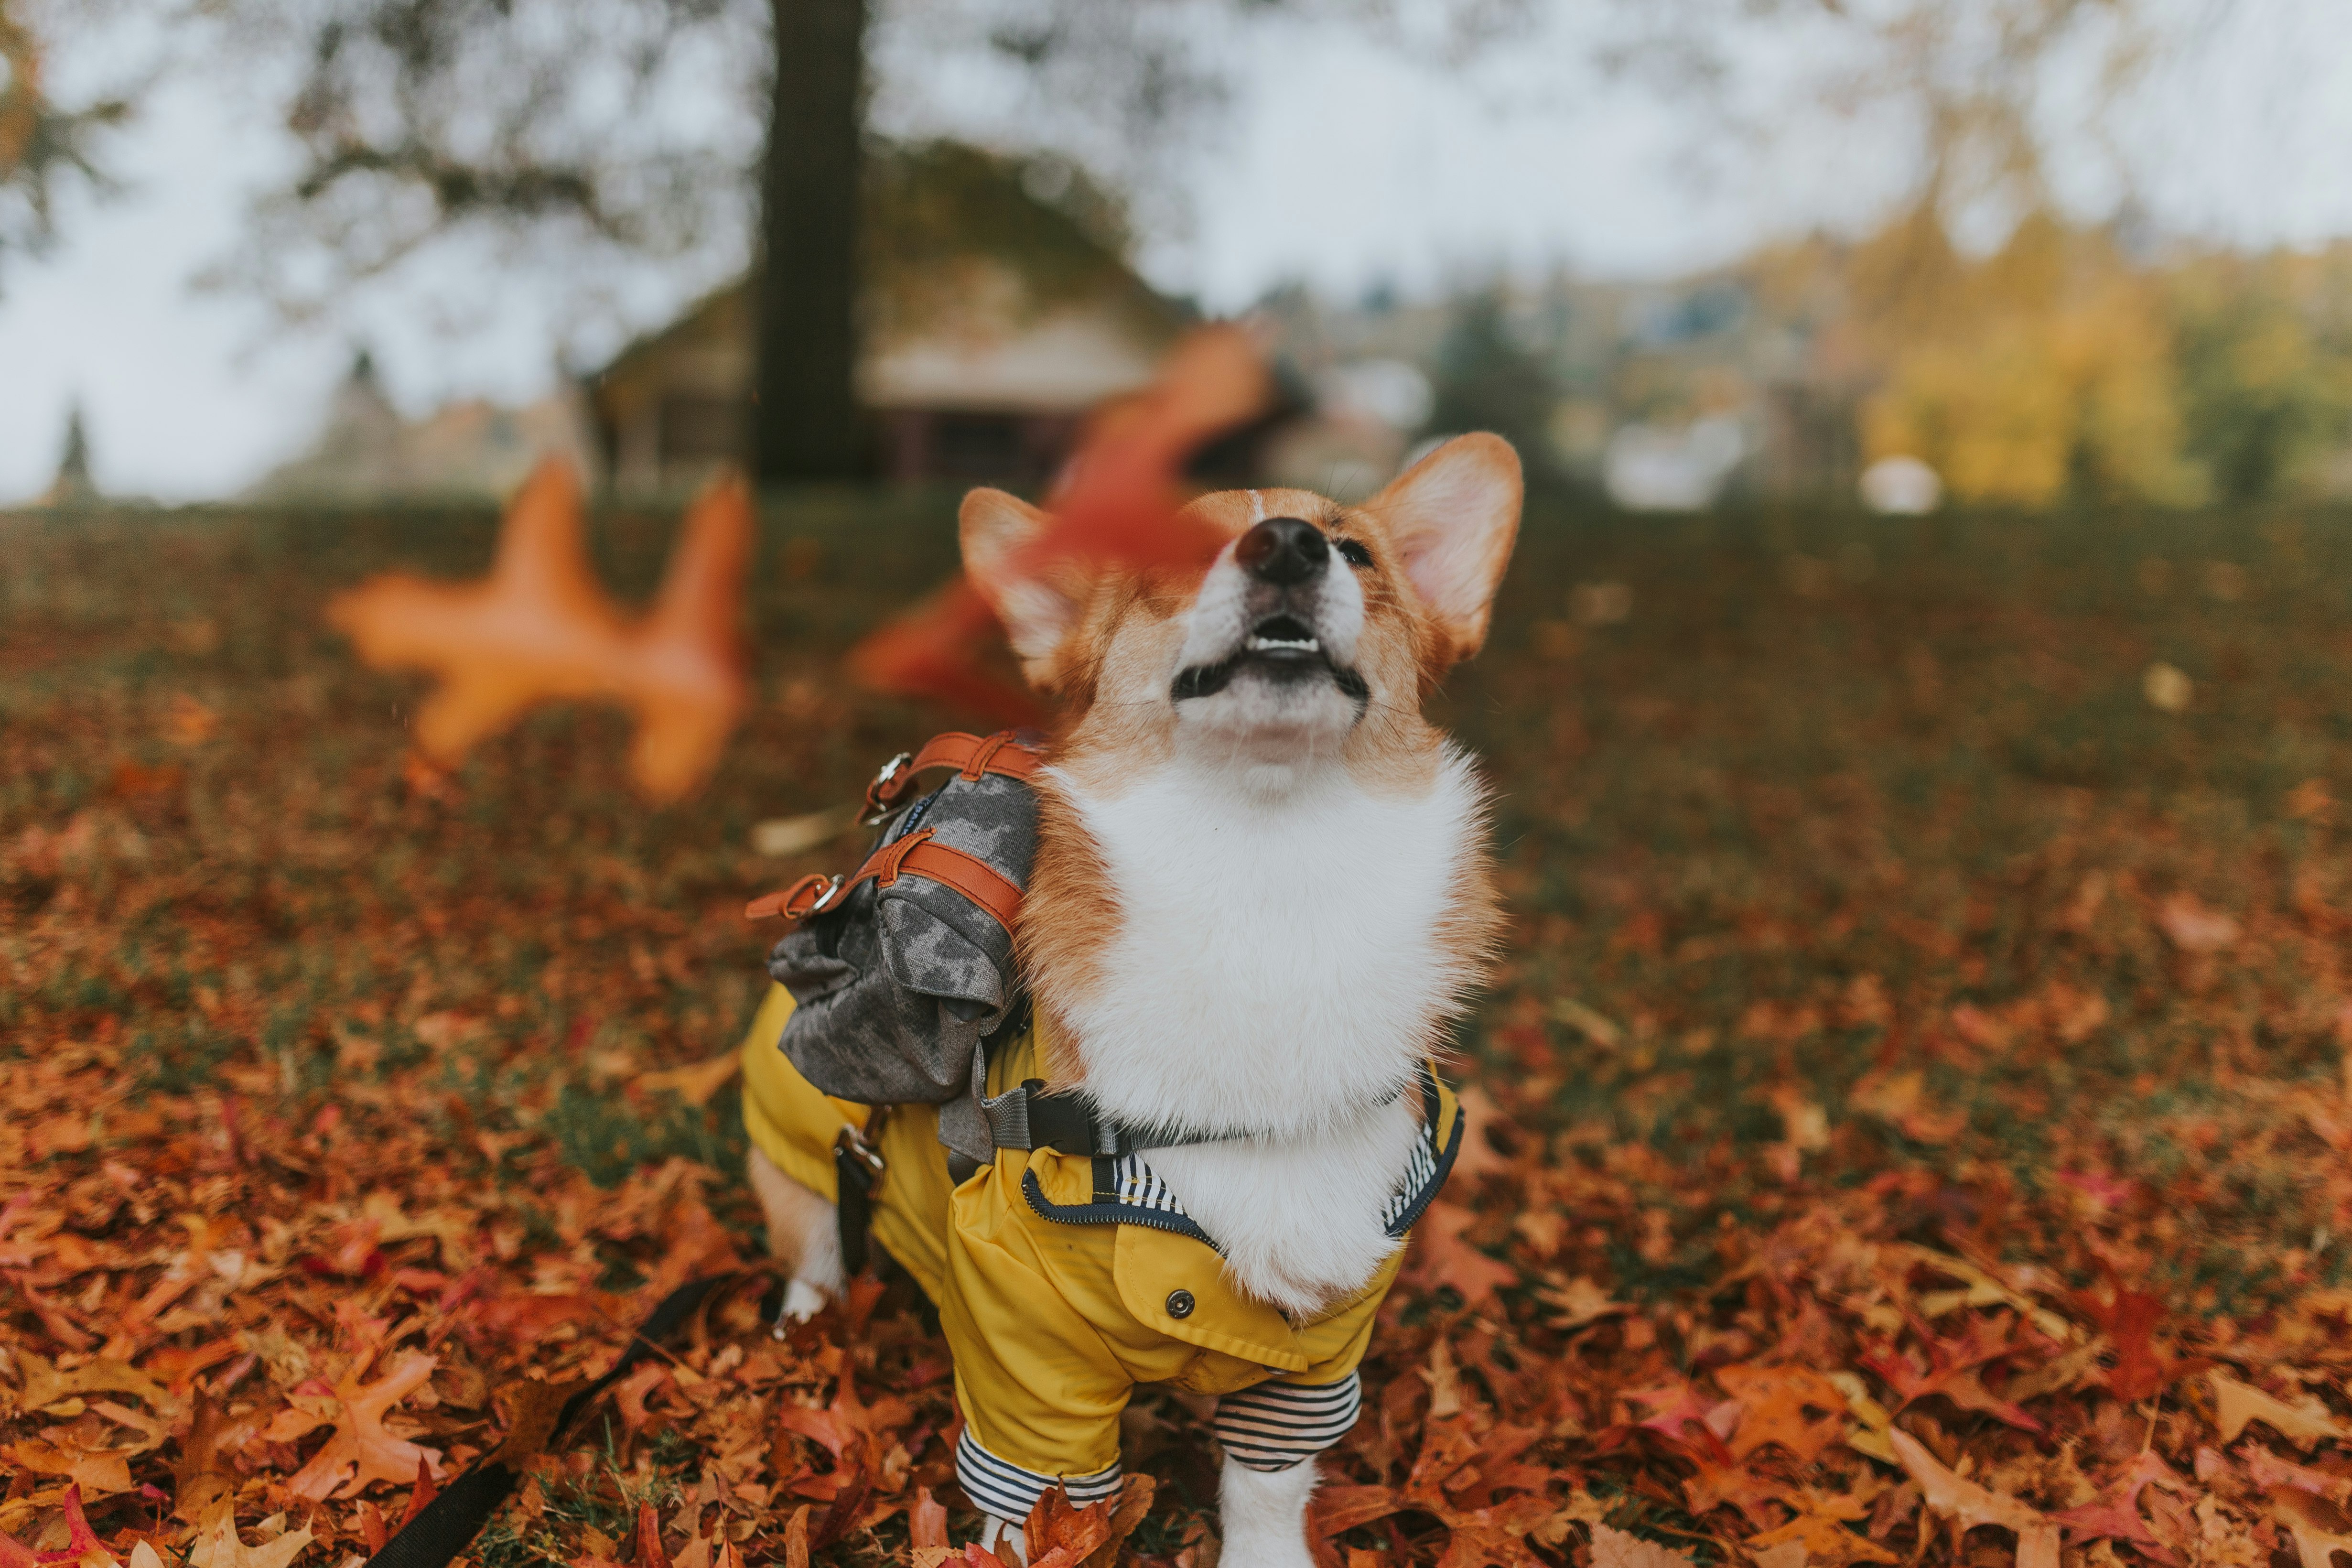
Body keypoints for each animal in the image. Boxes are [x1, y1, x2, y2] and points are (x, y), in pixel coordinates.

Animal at [748, 435, 1524, 1568]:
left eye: (1356, 552)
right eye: (1172, 553)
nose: (1288, 545)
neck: (1266, 877)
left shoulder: (1315, 1348)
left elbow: (1267, 1487)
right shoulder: (1029, 1355)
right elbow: (1037, 1514)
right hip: (800, 1154)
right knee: (813, 1253)